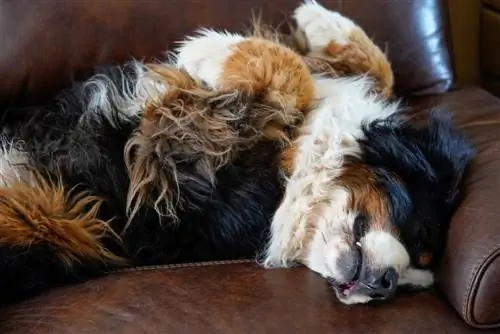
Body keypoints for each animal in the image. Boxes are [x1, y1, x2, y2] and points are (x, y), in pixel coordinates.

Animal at [0, 0, 474, 308]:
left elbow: (295, 77)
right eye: (418, 233)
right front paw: (318, 19)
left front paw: (208, 51)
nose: (386, 285)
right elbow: (363, 71)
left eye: (411, 282)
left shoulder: (189, 184)